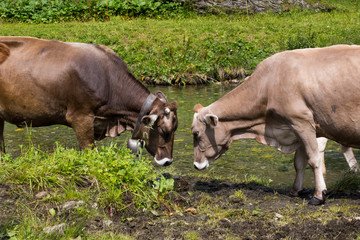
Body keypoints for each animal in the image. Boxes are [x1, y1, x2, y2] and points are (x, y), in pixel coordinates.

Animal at [193, 44, 360, 204]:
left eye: (196, 133)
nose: (196, 165)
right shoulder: (295, 127)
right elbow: (299, 162)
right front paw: (295, 190)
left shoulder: (302, 122)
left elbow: (314, 159)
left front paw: (318, 195)